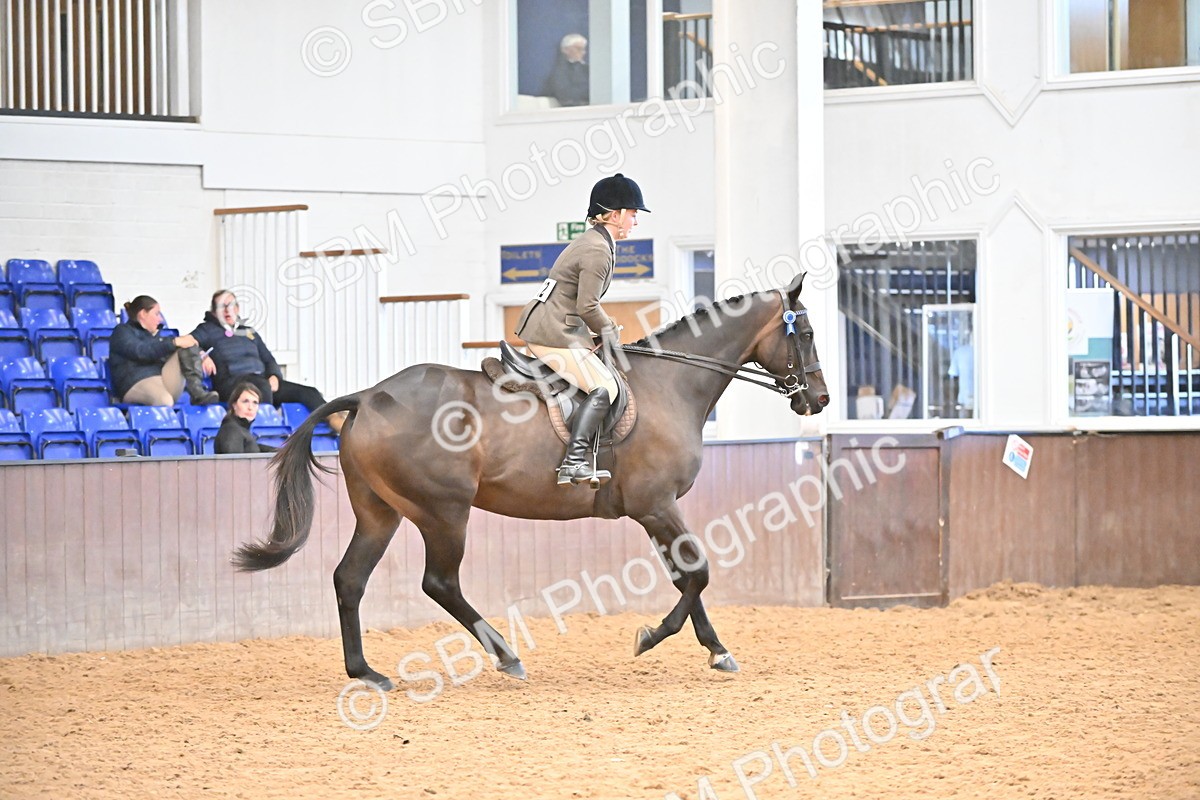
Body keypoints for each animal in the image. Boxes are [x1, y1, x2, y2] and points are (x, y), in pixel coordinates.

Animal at [233, 272, 828, 689]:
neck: (672, 383)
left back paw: (367, 672)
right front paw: (651, 637)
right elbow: (698, 571)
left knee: (349, 579)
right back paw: (507, 656)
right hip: (444, 511)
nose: (818, 400)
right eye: (807, 333)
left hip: (381, 511)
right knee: (439, 583)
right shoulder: (656, 504)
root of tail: (366, 396)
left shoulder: (654, 510)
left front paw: (716, 649)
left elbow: (687, 574)